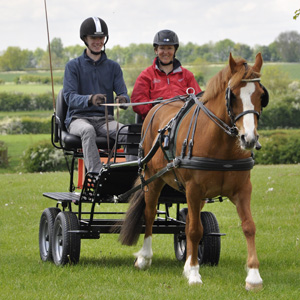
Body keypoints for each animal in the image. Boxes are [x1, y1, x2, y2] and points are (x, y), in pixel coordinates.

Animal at [119, 52, 268, 290]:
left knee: (190, 220)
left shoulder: (242, 190)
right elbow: (195, 230)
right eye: (233, 95)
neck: (221, 145)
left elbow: (248, 226)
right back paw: (145, 257)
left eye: (261, 95)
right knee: (150, 214)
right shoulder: (194, 188)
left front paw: (253, 276)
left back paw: (188, 263)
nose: (249, 138)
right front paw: (195, 275)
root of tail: (156, 108)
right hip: (153, 180)